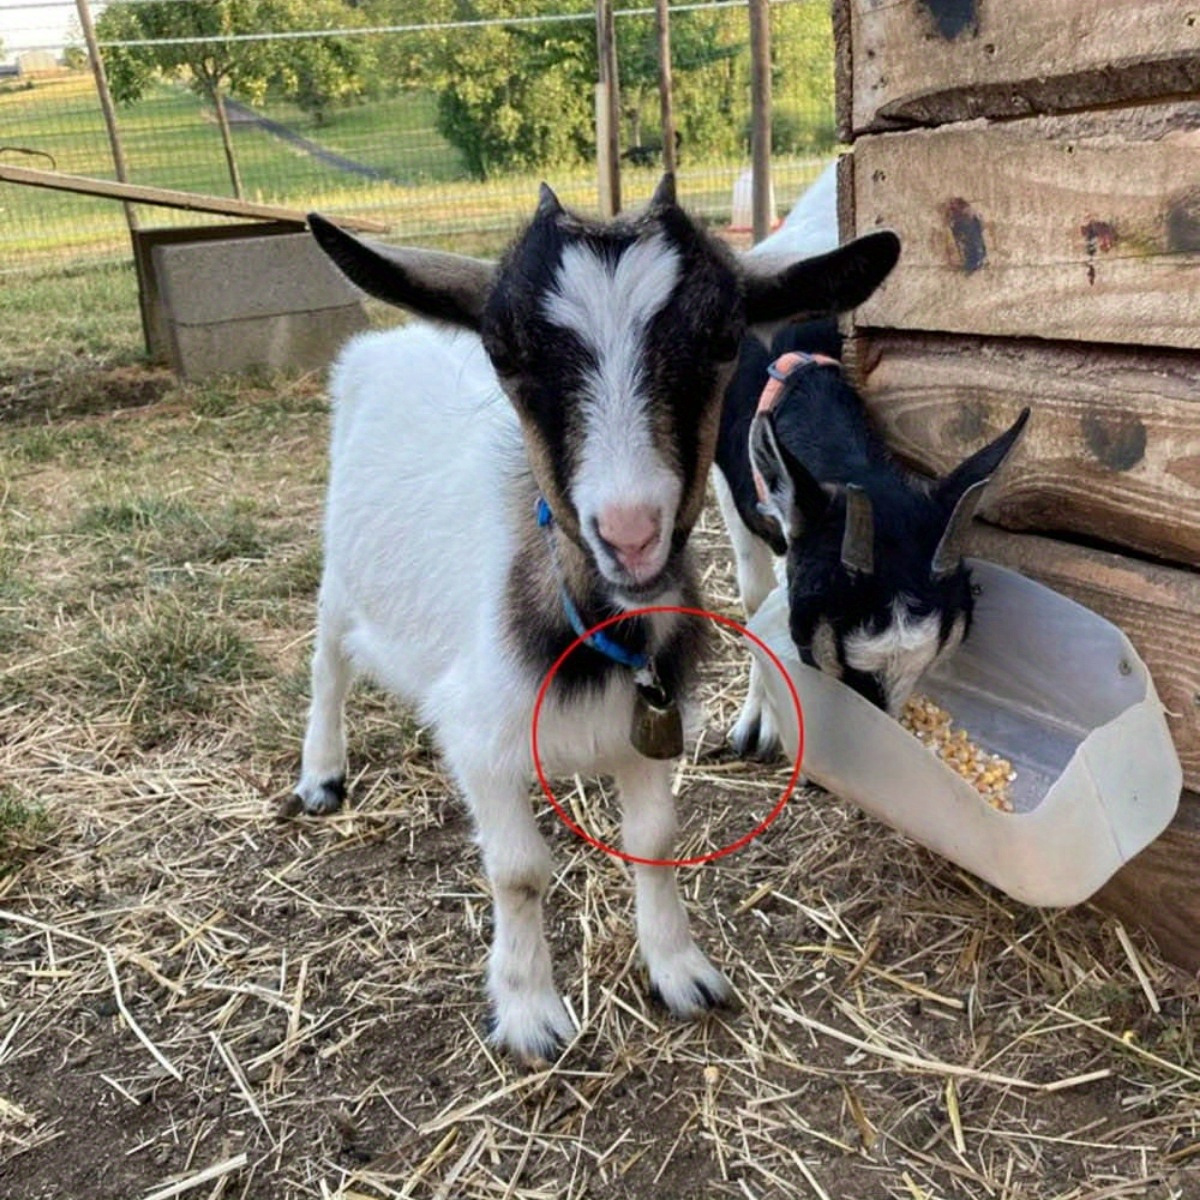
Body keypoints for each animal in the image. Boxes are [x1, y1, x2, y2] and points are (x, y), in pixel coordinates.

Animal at [292, 177, 902, 1060]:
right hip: (341, 578)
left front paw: (680, 970)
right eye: (504, 353)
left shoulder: (646, 728)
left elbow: (655, 839)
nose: (631, 533)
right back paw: (321, 774)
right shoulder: (482, 738)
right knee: (327, 667)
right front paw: (528, 1012)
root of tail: (388, 342)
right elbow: (517, 869)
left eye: (723, 341)